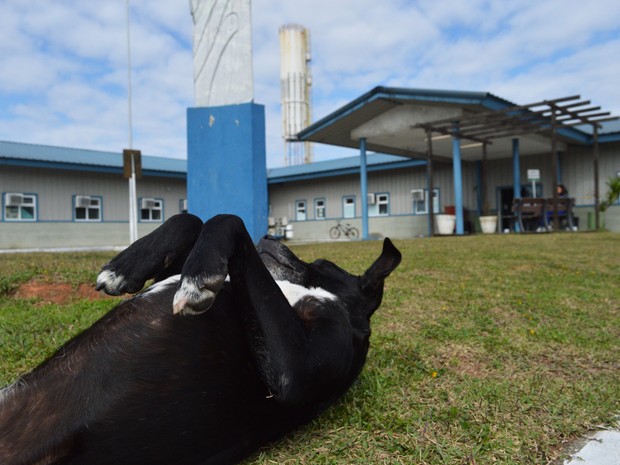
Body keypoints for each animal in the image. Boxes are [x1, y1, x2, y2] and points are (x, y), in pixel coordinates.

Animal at [0, 212, 402, 462]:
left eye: (321, 264)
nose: (271, 234)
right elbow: (191, 219)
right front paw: (124, 267)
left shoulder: (298, 372)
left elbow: (227, 219)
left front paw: (199, 277)